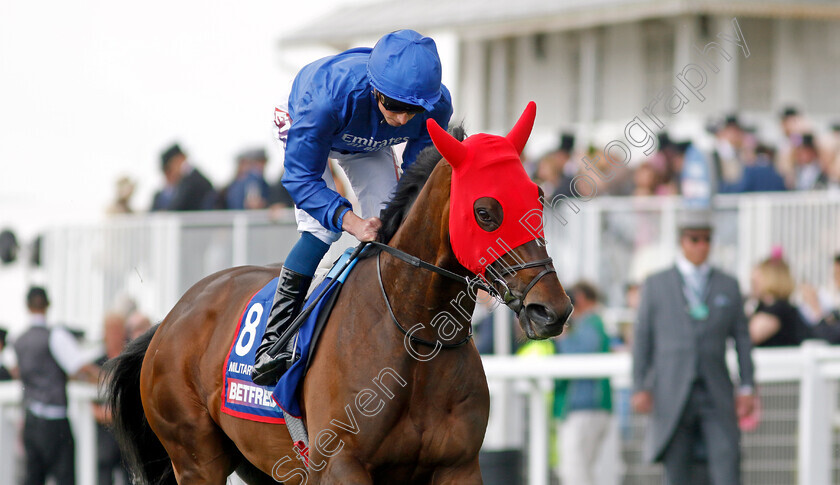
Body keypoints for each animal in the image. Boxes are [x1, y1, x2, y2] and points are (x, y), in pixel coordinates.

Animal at [106, 100, 572, 482]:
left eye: (538, 196)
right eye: (485, 212)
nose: (551, 309)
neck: (415, 337)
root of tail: (169, 319)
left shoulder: (458, 466)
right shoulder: (340, 465)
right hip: (195, 457)